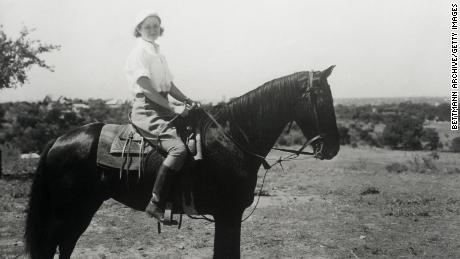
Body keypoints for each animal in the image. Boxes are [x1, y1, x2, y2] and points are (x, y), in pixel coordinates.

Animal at [25, 66, 340, 258]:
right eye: (322, 98)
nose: (333, 148)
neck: (232, 138)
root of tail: (58, 140)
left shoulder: (228, 216)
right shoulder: (228, 214)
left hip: (82, 209)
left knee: (65, 246)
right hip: (67, 211)